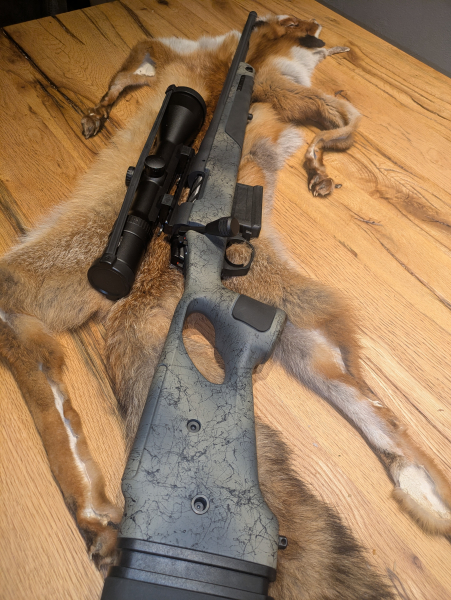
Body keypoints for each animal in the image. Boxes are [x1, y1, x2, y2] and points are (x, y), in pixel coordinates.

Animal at [1, 13, 449, 599]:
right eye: (298, 25)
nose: (321, 29)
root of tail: (140, 291)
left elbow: (337, 119)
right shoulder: (193, 58)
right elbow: (339, 116)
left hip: (284, 314)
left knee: (362, 401)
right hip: (270, 307)